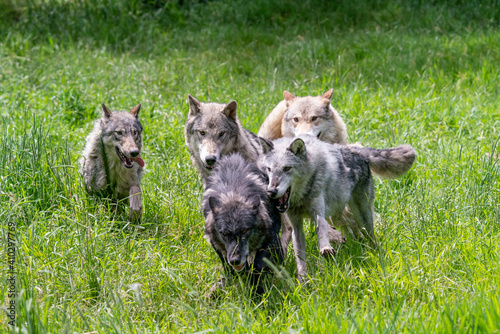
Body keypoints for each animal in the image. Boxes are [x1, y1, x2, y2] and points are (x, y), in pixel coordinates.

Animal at [201, 153, 284, 294]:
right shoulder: (216, 244)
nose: (235, 260)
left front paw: (256, 290)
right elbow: (229, 268)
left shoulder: (270, 238)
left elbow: (258, 265)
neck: (233, 193)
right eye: (224, 233)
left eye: (244, 231)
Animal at [256, 134, 416, 280]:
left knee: (371, 237)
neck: (302, 196)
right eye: (269, 169)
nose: (271, 191)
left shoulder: (318, 213)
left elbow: (321, 230)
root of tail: (356, 149)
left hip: (362, 217)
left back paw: (375, 255)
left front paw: (325, 248)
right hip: (338, 216)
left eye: (287, 168)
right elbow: (300, 258)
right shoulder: (296, 225)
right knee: (353, 233)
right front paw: (303, 281)